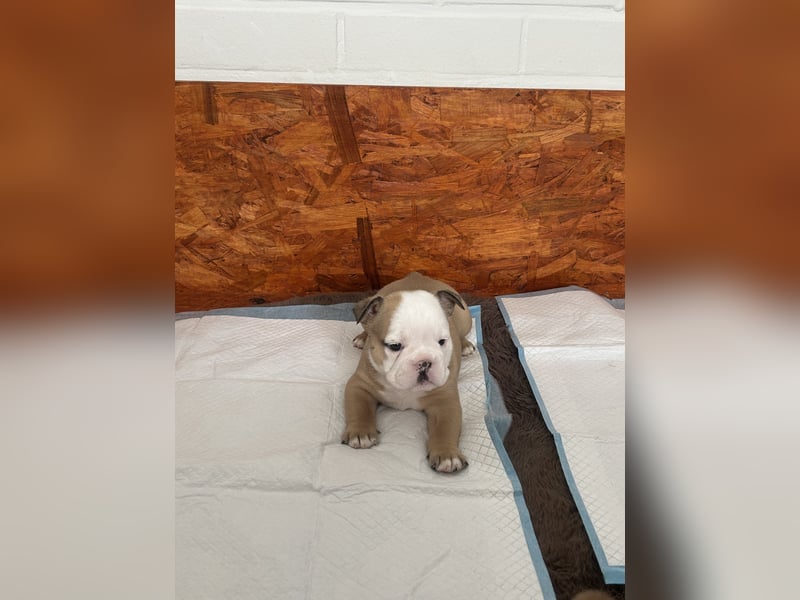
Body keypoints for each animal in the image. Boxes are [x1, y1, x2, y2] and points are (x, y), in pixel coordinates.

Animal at [341, 272, 474, 473]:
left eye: (442, 341)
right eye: (394, 346)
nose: (424, 361)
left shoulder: (444, 400)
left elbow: (445, 427)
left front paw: (447, 455)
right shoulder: (359, 385)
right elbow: (359, 408)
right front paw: (361, 432)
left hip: (464, 317)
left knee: (462, 332)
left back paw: (465, 344)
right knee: (366, 325)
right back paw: (362, 338)